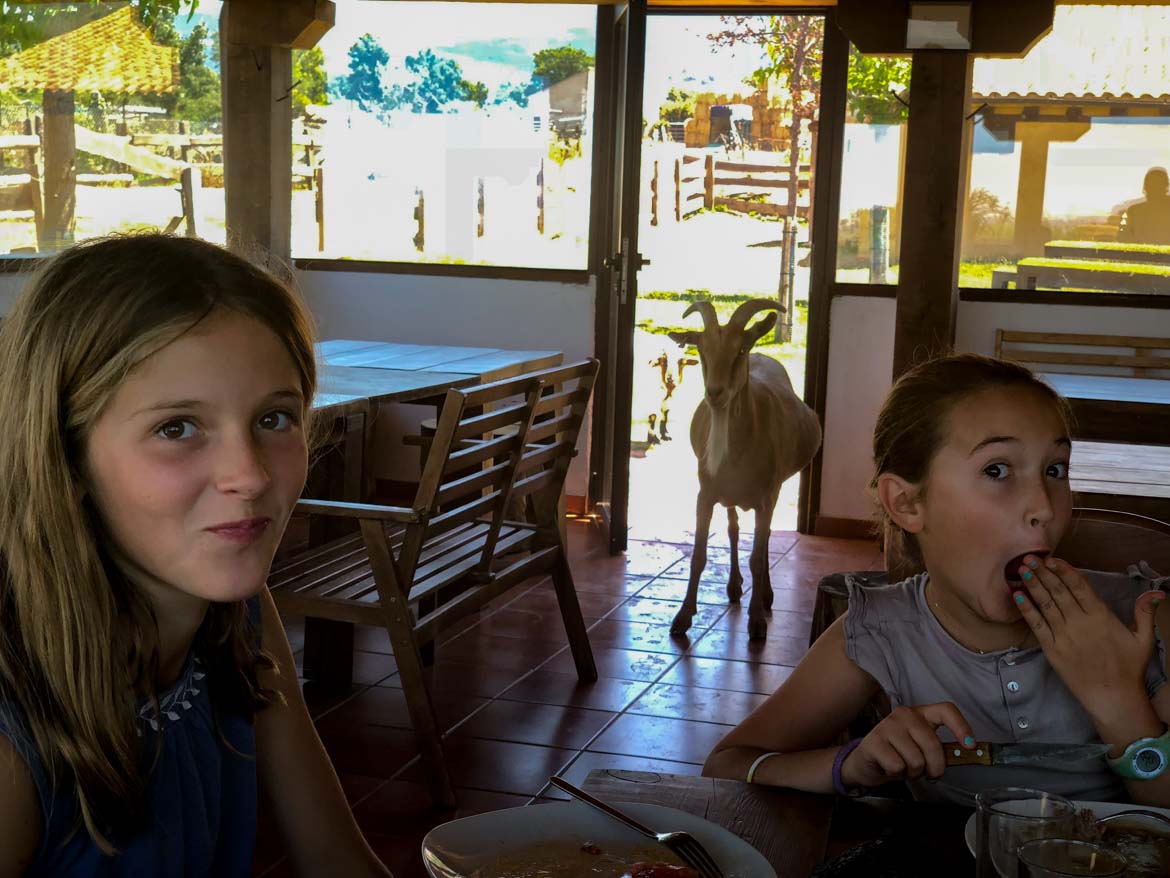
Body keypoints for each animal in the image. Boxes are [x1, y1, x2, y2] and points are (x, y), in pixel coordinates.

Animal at [669, 302, 823, 641]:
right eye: (702, 349)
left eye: (741, 349)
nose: (715, 392)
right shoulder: (706, 493)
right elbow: (699, 555)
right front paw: (682, 618)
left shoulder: (768, 495)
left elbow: (758, 555)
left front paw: (757, 623)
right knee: (735, 528)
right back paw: (734, 586)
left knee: (763, 541)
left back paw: (765, 596)